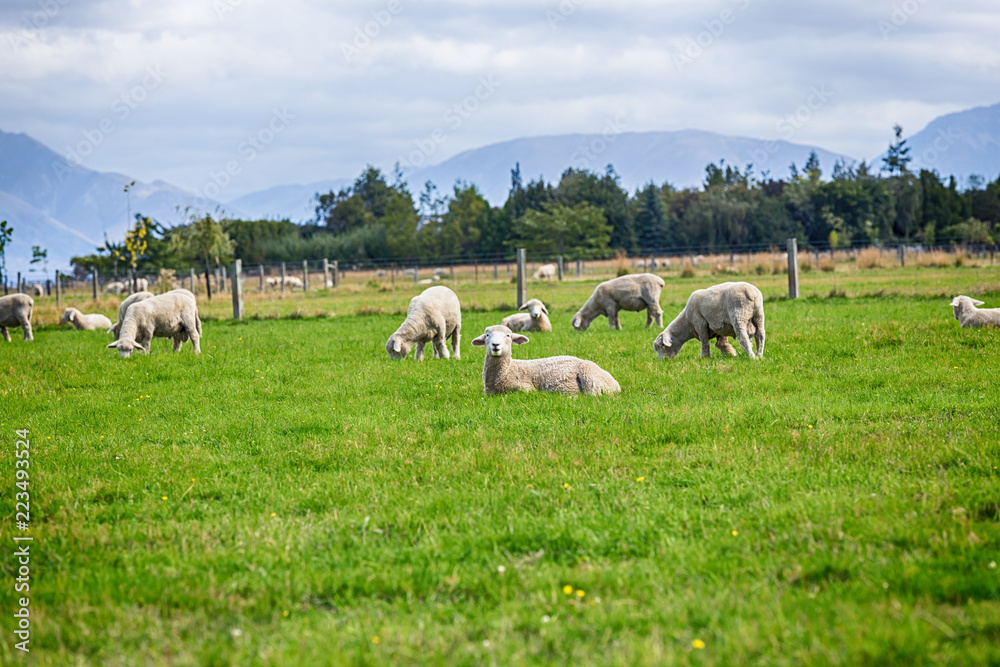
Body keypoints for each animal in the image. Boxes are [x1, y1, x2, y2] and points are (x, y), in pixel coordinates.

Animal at [471, 325, 620, 396]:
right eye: (487, 335)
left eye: (508, 335)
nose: (495, 345)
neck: (508, 369)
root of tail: (615, 384)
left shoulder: (526, 389)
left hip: (590, 377)